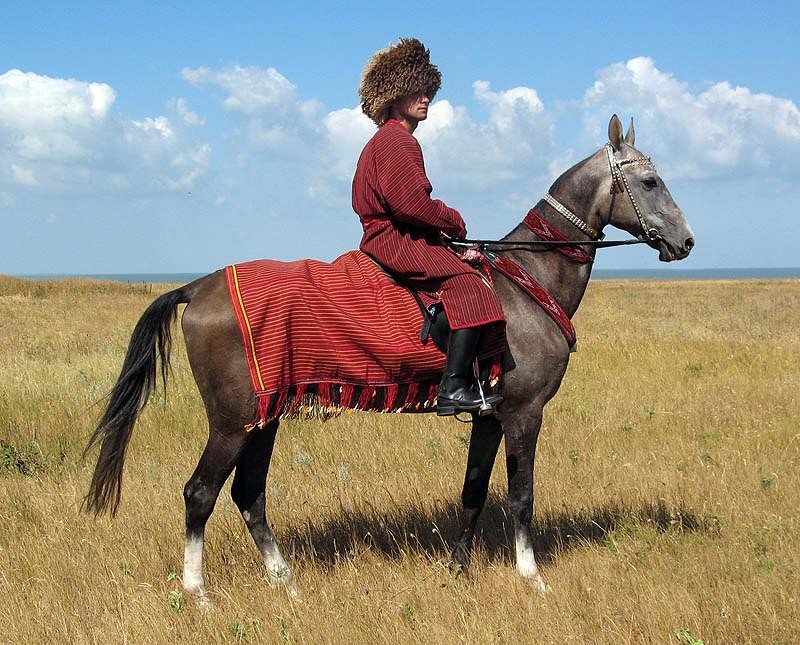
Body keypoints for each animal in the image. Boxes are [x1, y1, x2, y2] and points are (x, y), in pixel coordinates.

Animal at [83, 114, 692, 600]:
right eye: (650, 180)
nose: (686, 241)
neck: (526, 280)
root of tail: (200, 287)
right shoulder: (524, 413)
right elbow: (521, 497)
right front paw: (532, 578)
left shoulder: (488, 415)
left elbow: (473, 490)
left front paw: (459, 570)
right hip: (232, 423)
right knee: (200, 493)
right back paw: (198, 594)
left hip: (263, 419)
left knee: (248, 494)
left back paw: (287, 583)